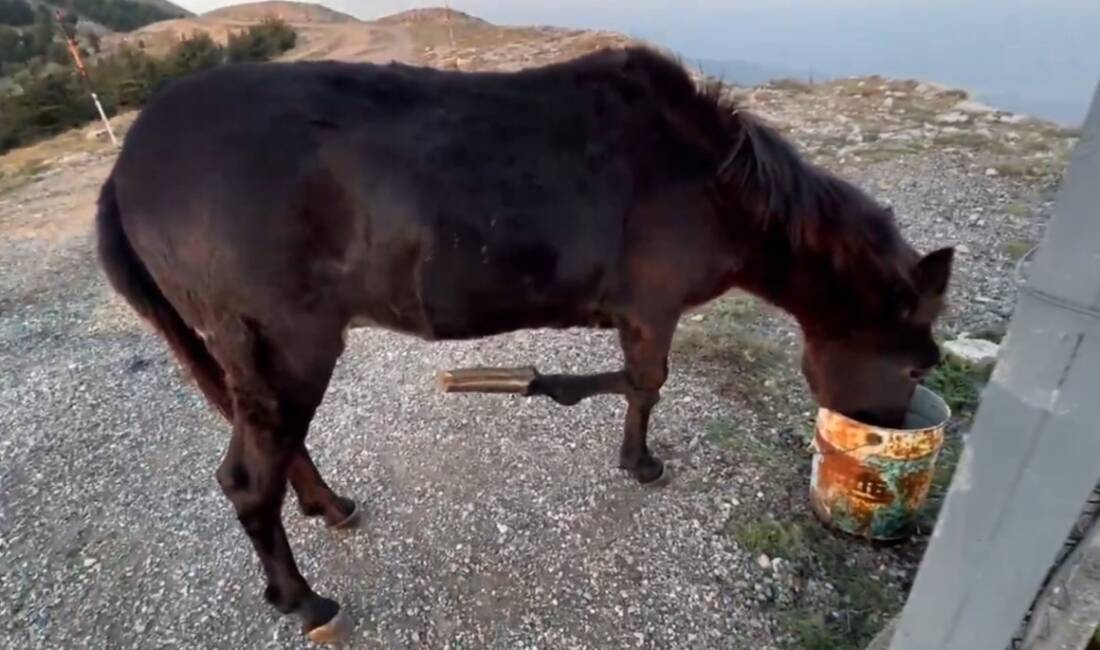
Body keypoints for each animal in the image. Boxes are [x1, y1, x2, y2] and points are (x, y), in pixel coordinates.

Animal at [96, 47, 954, 646]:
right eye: (916, 362)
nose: (885, 431)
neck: (709, 180)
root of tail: (125, 173)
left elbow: (635, 380)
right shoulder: (653, 308)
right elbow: (645, 382)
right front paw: (629, 453)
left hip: (253, 356)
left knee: (273, 452)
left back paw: (328, 507)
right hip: (287, 345)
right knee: (248, 481)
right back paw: (305, 600)